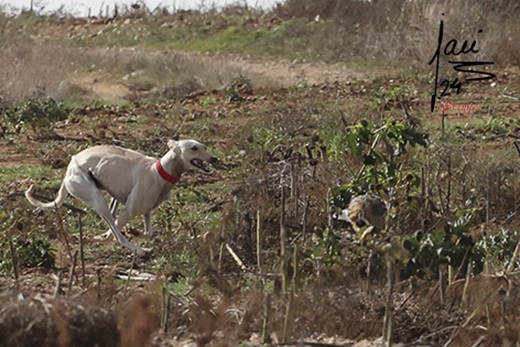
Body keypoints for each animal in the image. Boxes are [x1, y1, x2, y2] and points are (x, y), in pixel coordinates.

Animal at [25, 139, 216, 256]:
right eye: (194, 148)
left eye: (203, 146)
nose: (214, 158)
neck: (159, 170)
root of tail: (68, 170)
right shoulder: (129, 211)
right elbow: (116, 232)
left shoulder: (147, 211)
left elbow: (148, 232)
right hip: (96, 197)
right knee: (116, 235)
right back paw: (137, 249)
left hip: (110, 198)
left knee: (113, 221)